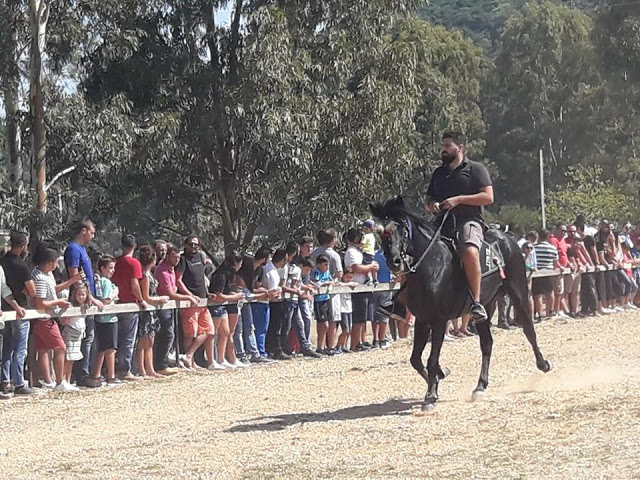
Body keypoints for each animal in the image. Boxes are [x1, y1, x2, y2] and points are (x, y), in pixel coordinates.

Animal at [372, 197, 552, 410]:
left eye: (400, 227)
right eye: (379, 231)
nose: (394, 262)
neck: (432, 266)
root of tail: (507, 239)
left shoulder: (439, 320)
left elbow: (431, 359)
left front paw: (431, 396)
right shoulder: (422, 320)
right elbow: (416, 359)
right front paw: (440, 376)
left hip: (518, 293)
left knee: (528, 329)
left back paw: (543, 364)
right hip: (486, 306)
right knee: (487, 343)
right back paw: (480, 386)